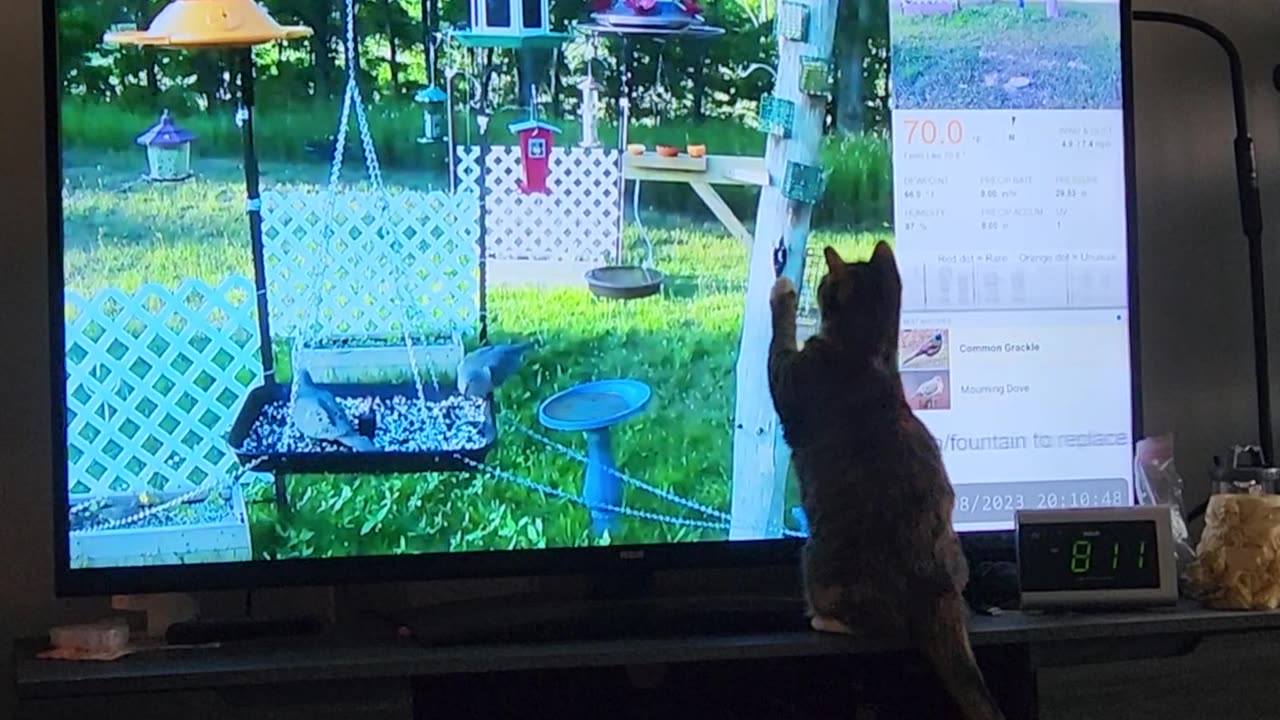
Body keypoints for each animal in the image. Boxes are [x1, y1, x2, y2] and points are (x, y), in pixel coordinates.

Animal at [762, 240, 1003, 717]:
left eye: (823, 281)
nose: (815, 282)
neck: (868, 352)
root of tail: (935, 590)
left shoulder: (789, 377)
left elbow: (780, 335)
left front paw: (784, 291)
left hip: (814, 558)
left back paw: (822, 619)